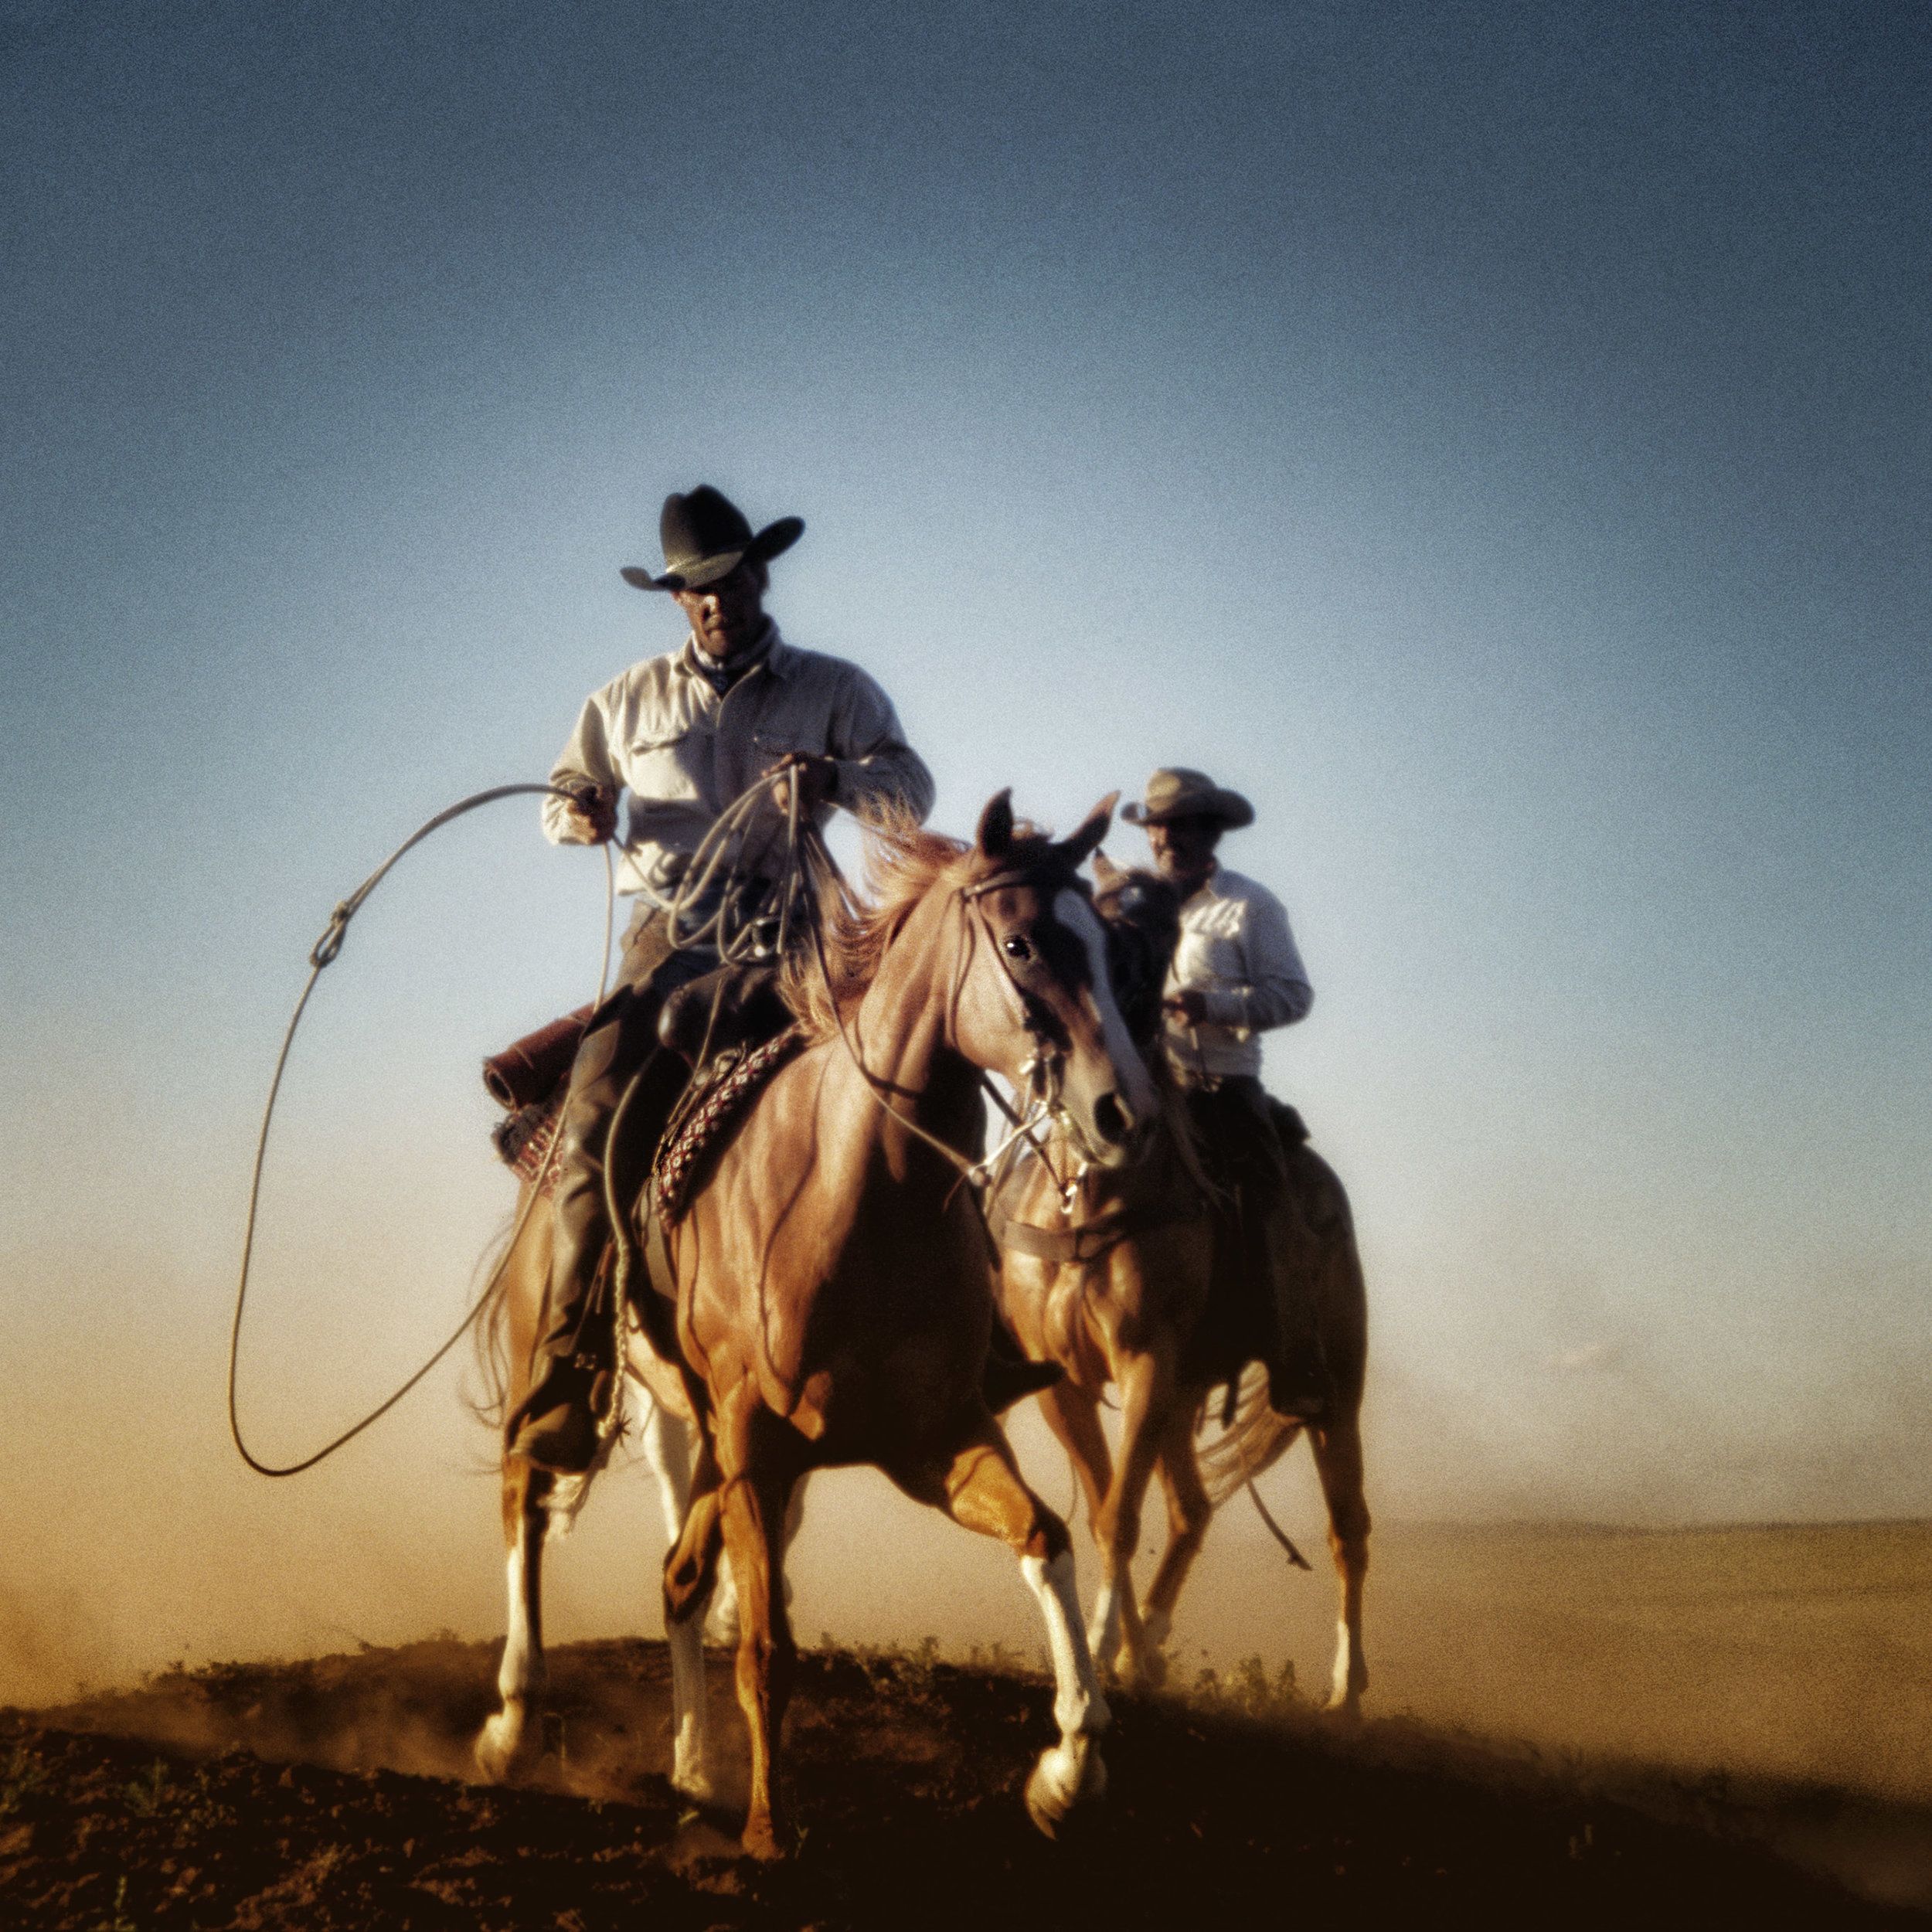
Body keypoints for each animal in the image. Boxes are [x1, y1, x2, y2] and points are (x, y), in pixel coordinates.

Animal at [997, 854, 1376, 1716]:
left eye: (1152, 937)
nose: (1114, 1107)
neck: (1092, 1196)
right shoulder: (1067, 1382)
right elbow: (1110, 1508)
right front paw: (1124, 1654)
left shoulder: (1145, 1363)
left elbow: (1117, 1519)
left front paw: (1105, 1652)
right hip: (1186, 1393)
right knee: (1194, 1510)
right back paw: (1157, 1648)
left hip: (1335, 1388)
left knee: (1348, 1530)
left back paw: (1348, 1688)